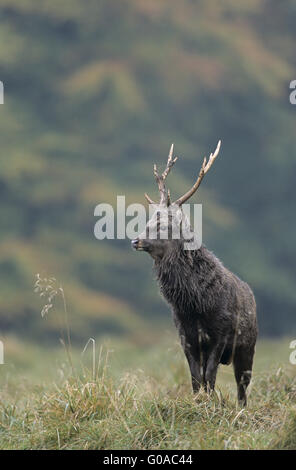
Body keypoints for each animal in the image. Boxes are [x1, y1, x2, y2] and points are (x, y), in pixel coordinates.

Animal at [131, 141, 256, 406]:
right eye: (148, 221)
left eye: (163, 225)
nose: (135, 240)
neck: (195, 304)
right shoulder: (185, 336)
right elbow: (195, 378)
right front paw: (198, 401)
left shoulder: (221, 334)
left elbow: (209, 376)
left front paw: (209, 404)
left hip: (248, 345)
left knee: (243, 385)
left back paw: (242, 409)